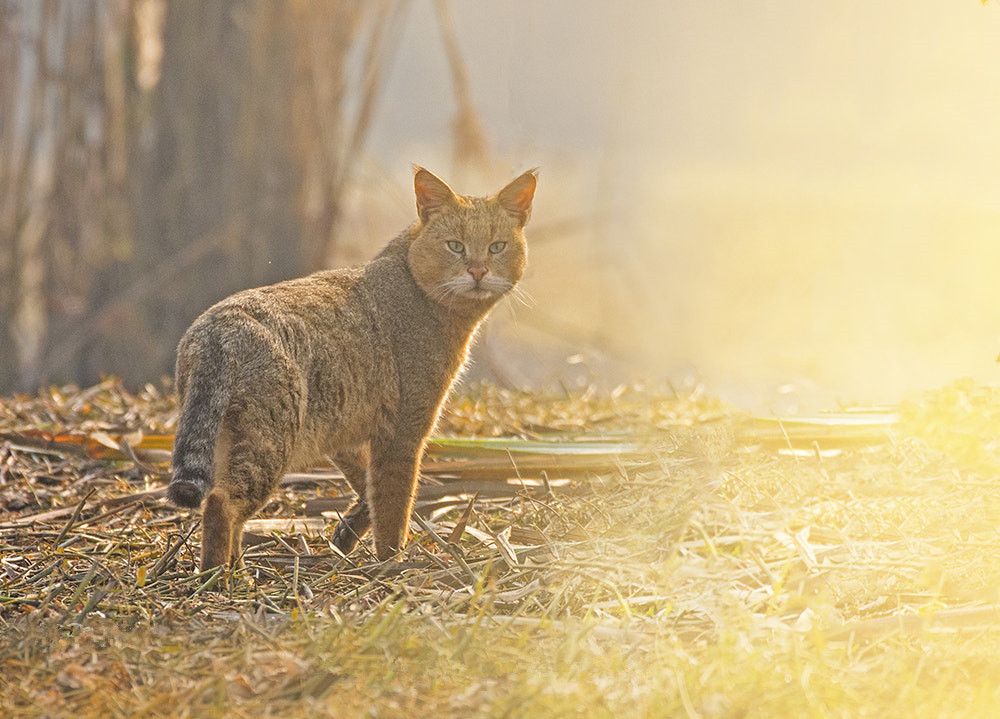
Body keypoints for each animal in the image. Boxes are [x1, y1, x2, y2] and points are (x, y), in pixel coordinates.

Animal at [170, 166, 540, 572]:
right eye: (455, 246)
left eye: (497, 246)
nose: (478, 270)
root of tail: (218, 329)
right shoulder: (403, 434)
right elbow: (394, 506)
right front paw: (392, 562)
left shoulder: (345, 435)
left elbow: (368, 492)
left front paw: (347, 534)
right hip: (269, 443)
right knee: (220, 503)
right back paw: (218, 575)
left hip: (228, 440)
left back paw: (236, 565)